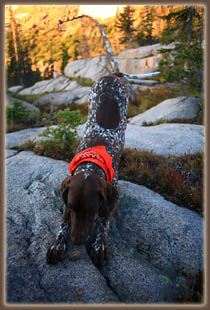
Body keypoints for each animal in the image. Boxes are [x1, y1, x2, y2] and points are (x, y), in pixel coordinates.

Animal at [46, 74, 129, 268]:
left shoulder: (114, 198)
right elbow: (63, 223)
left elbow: (104, 223)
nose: (77, 241)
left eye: (92, 211)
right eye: (71, 207)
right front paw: (58, 244)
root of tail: (112, 75)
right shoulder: (66, 198)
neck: (91, 166)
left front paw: (100, 246)